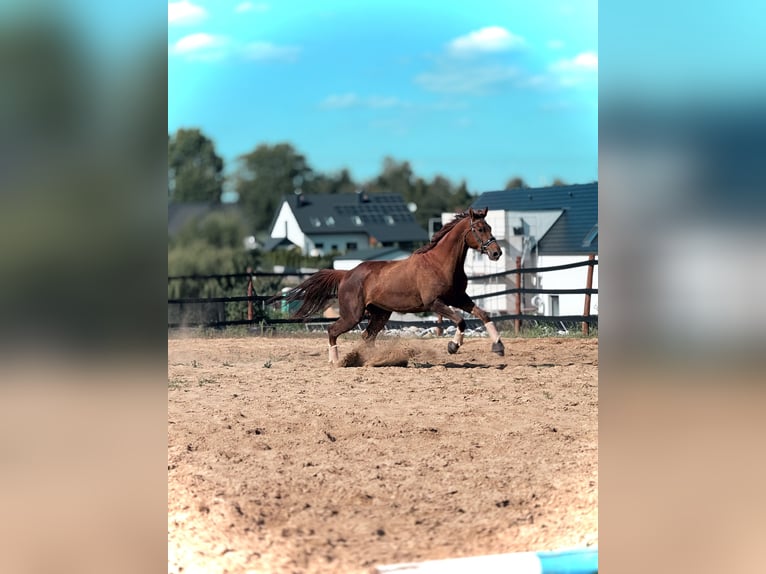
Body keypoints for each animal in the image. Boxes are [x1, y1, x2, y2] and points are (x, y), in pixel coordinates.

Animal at [278, 207, 505, 363]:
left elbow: (483, 315)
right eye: (479, 228)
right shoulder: (435, 303)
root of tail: (346, 274)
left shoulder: (459, 298)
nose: (496, 253)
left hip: (380, 313)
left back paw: (372, 359)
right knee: (333, 330)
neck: (440, 263)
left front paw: (499, 346)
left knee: (367, 336)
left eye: (490, 227)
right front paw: (453, 346)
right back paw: (336, 362)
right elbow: (461, 320)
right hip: (353, 315)